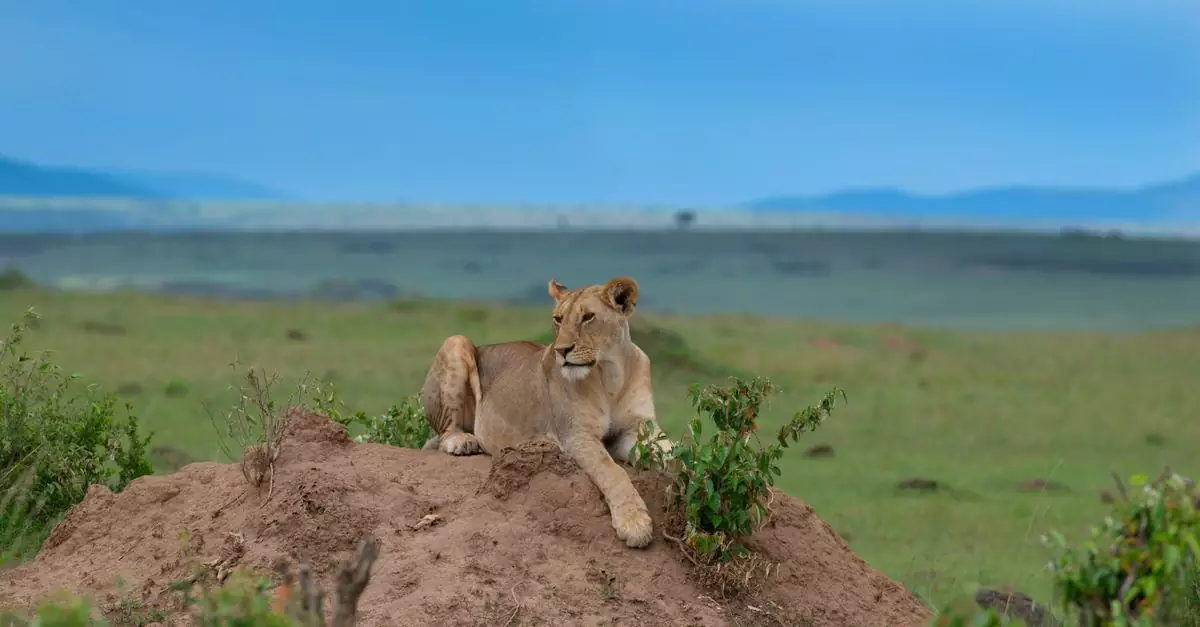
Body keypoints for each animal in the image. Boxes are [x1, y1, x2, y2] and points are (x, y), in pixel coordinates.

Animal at [419, 275, 673, 548]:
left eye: (588, 317)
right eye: (558, 319)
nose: (561, 350)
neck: (610, 375)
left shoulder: (637, 427)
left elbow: (671, 450)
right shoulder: (576, 434)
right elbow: (611, 471)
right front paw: (634, 523)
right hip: (456, 341)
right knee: (445, 432)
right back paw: (462, 441)